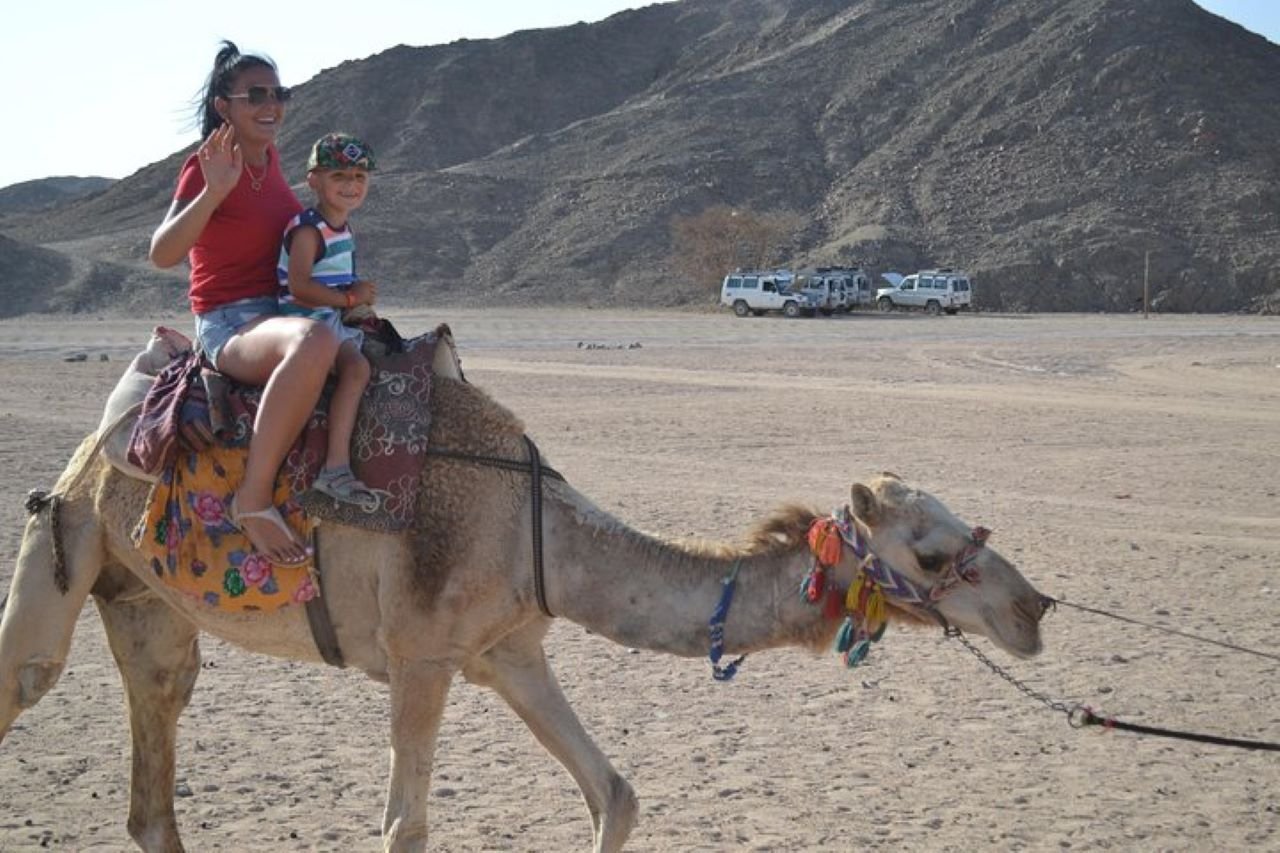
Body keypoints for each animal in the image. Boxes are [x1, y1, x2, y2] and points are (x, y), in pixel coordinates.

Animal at [0, 374, 1049, 852]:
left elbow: (614, 792)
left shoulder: (510, 650)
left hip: (144, 602)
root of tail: (96, 446)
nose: (1033, 608)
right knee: (28, 678)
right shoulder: (421, 655)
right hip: (67, 540)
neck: (533, 531)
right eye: (931, 550)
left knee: (156, 757)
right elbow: (405, 828)